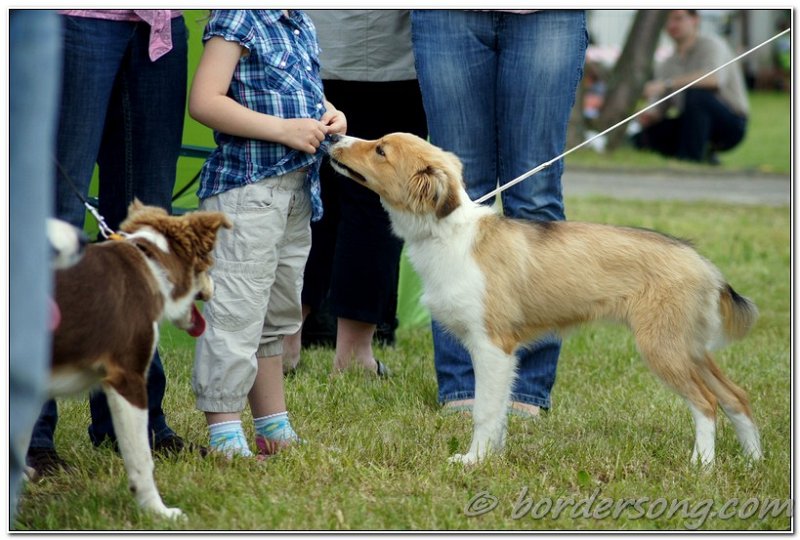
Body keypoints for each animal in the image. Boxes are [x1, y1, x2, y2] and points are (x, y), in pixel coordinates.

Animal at [49, 200, 231, 516]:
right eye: (209, 264)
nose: (215, 289)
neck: (154, 263)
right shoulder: (127, 377)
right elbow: (141, 459)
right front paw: (158, 512)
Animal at [326, 133, 764, 466]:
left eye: (381, 151)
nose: (332, 137)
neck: (447, 233)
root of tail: (704, 265)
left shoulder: (493, 346)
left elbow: (485, 410)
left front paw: (473, 461)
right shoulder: (496, 353)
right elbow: (497, 409)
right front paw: (493, 456)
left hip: (663, 347)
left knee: (707, 403)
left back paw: (702, 464)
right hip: (689, 347)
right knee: (736, 396)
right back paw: (753, 460)